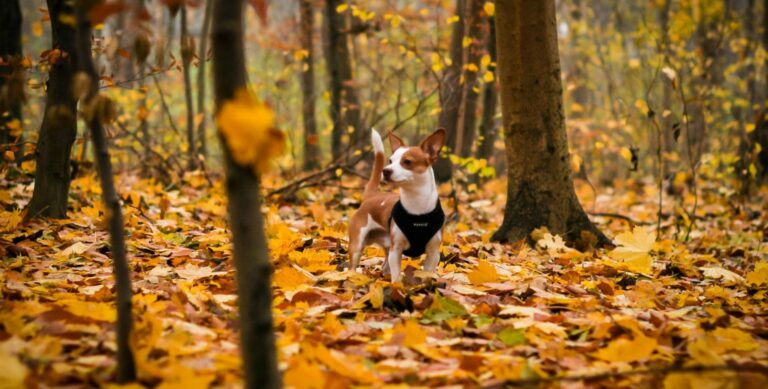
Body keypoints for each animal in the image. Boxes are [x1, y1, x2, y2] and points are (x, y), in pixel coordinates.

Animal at [346, 128, 448, 282]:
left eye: (407, 161)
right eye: (390, 161)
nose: (386, 170)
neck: (417, 207)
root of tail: (372, 195)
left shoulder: (433, 253)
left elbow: (427, 275)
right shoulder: (396, 250)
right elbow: (396, 277)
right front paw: (396, 286)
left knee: (385, 267)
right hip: (357, 245)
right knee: (353, 266)